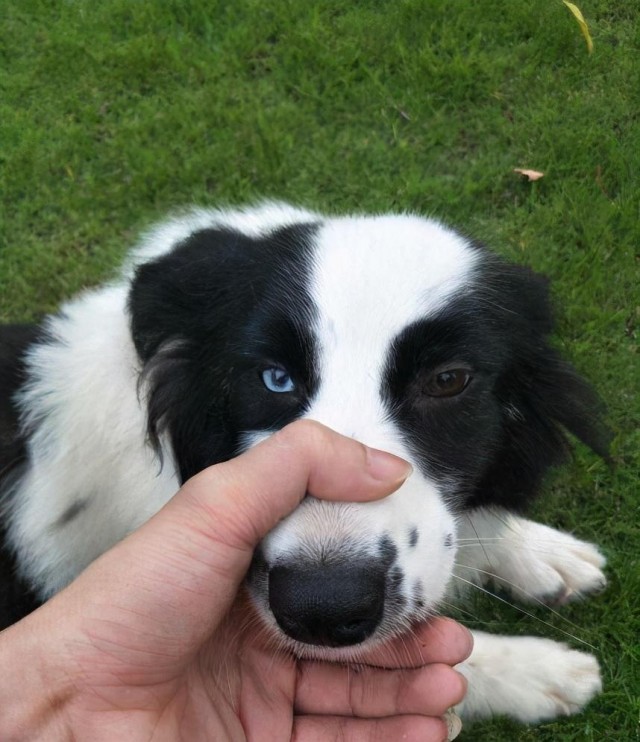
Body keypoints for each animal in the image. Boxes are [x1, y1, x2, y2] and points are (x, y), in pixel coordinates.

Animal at [0, 205, 608, 728]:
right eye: (275, 377)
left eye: (446, 379)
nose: (322, 607)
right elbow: (452, 664)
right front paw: (538, 670)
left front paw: (541, 553)